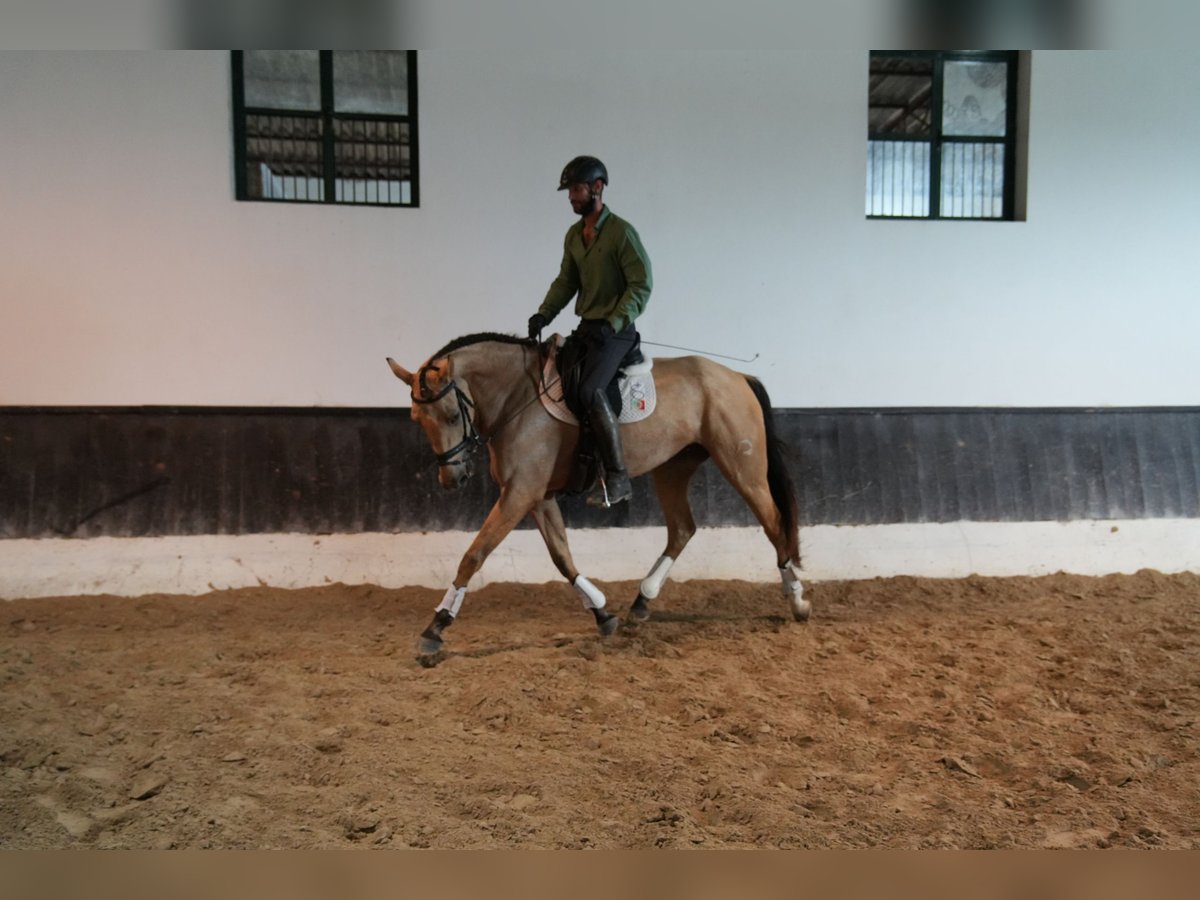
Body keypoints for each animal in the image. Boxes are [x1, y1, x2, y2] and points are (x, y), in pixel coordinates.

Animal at [388, 333, 811, 662]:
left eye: (449, 415)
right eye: (416, 419)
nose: (452, 479)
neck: (516, 396)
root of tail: (737, 377)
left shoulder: (520, 493)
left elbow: (474, 555)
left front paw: (435, 628)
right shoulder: (537, 496)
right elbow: (562, 556)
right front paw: (603, 615)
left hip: (743, 467)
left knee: (773, 523)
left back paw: (798, 601)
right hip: (673, 467)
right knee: (682, 529)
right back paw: (642, 602)